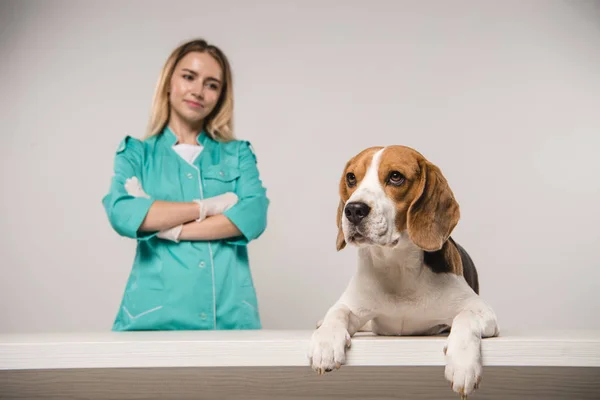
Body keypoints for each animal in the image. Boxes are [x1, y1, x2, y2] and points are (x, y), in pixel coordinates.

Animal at [308, 145, 500, 398]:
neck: (397, 268)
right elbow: (337, 313)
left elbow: (465, 317)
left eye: (395, 176)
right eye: (351, 178)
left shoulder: (483, 311)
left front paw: (463, 364)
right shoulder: (352, 305)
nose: (353, 209)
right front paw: (325, 343)